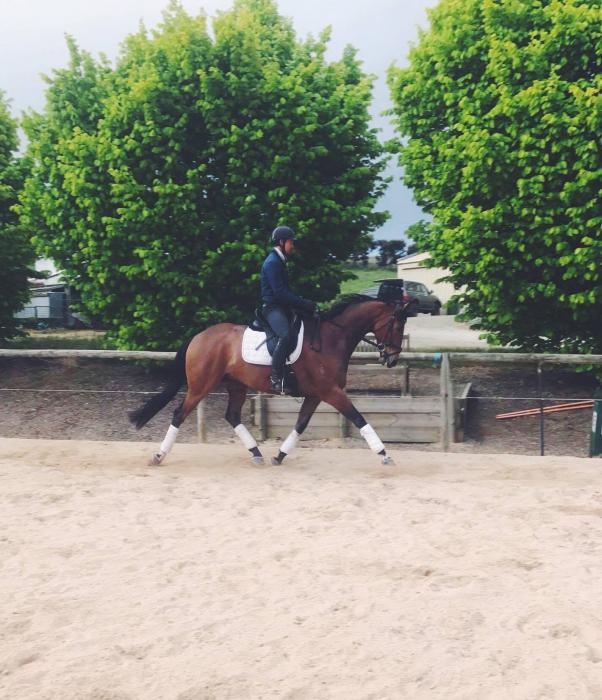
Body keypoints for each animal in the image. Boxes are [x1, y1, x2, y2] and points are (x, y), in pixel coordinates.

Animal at [129, 291, 413, 466]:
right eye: (397, 325)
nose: (391, 358)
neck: (332, 338)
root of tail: (199, 336)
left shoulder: (315, 395)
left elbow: (300, 425)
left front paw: (279, 455)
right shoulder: (331, 392)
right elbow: (359, 419)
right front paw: (384, 455)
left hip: (236, 386)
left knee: (232, 416)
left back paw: (256, 454)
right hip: (201, 386)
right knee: (179, 414)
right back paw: (158, 456)